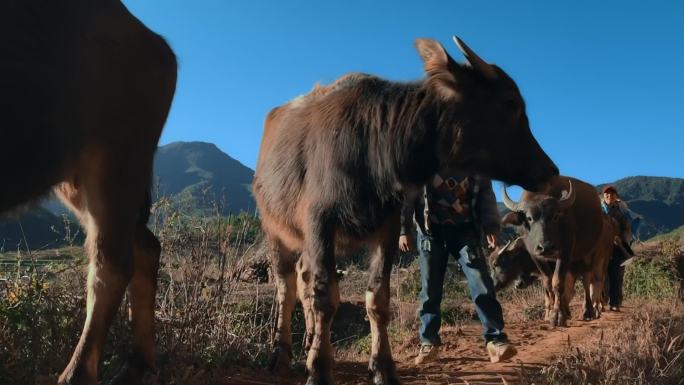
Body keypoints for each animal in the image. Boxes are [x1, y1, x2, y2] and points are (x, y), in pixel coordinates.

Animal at [0, 1, 176, 382]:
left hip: (115, 164)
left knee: (112, 263)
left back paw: (77, 374)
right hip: (82, 179)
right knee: (144, 247)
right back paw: (137, 364)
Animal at [254, 36, 560, 384]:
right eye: (510, 103)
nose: (550, 170)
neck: (374, 147)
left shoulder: (386, 227)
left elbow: (377, 299)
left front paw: (382, 367)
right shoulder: (320, 222)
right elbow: (324, 297)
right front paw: (318, 369)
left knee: (303, 276)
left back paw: (307, 341)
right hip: (275, 228)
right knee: (287, 285)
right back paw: (280, 354)